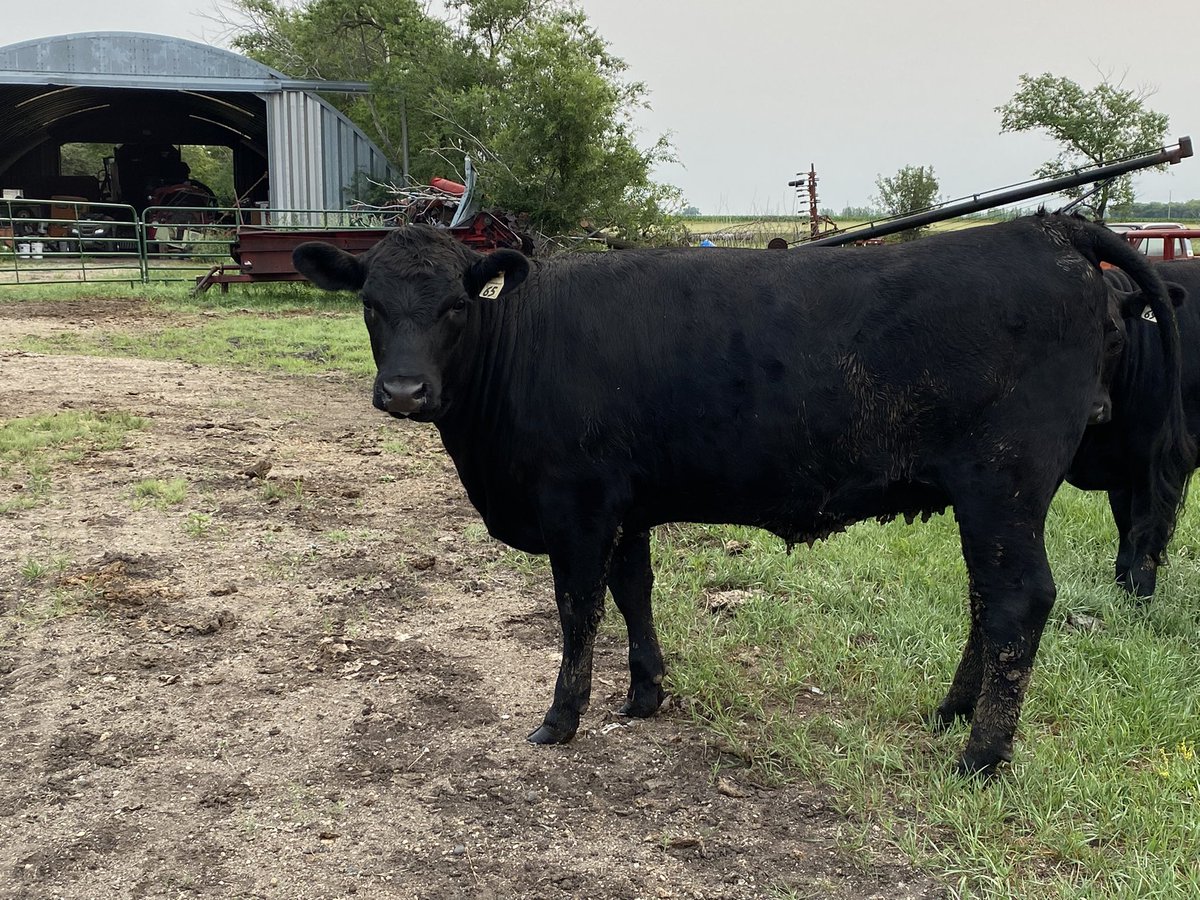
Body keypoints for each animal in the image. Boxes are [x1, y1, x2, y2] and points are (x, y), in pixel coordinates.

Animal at [1067, 259, 1199, 598]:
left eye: (1115, 341)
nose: (1092, 409)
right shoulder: (1123, 468)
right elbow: (1125, 526)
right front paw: (1121, 584)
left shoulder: (1162, 464)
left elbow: (1147, 530)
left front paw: (1139, 592)